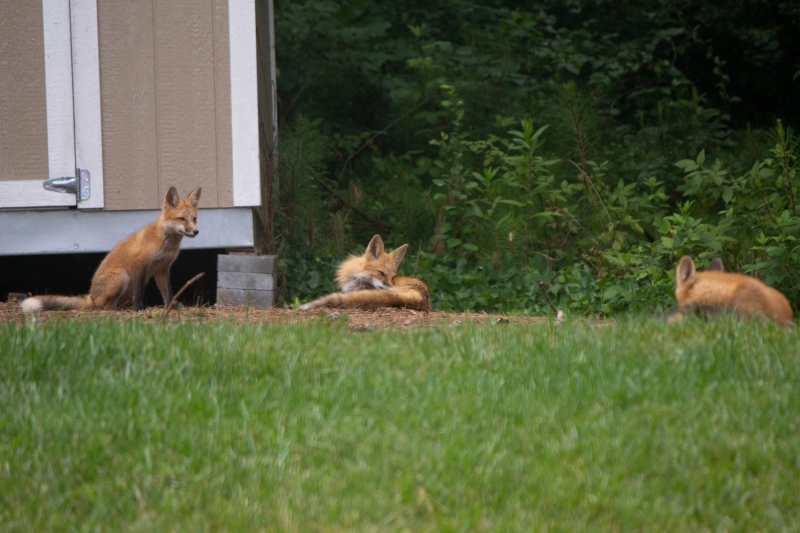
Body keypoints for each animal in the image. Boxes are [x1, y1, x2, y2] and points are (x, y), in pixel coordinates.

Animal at [21, 186, 202, 313]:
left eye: (194, 219)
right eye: (181, 219)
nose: (196, 231)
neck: (164, 242)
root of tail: (91, 295)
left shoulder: (162, 269)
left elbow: (168, 293)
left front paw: (172, 307)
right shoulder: (141, 263)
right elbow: (140, 291)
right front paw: (139, 310)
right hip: (122, 275)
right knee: (104, 307)